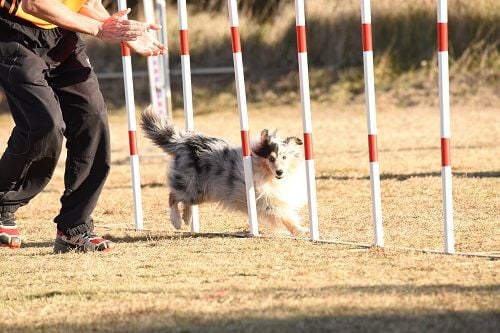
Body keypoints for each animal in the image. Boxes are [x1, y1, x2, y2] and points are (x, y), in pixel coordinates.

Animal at [140, 106, 308, 233]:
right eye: (271, 158)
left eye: (284, 157)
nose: (280, 172)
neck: (268, 175)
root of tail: (183, 141)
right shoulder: (265, 201)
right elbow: (284, 216)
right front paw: (300, 230)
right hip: (192, 186)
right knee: (172, 196)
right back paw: (177, 221)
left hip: (202, 192)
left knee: (185, 201)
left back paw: (187, 218)